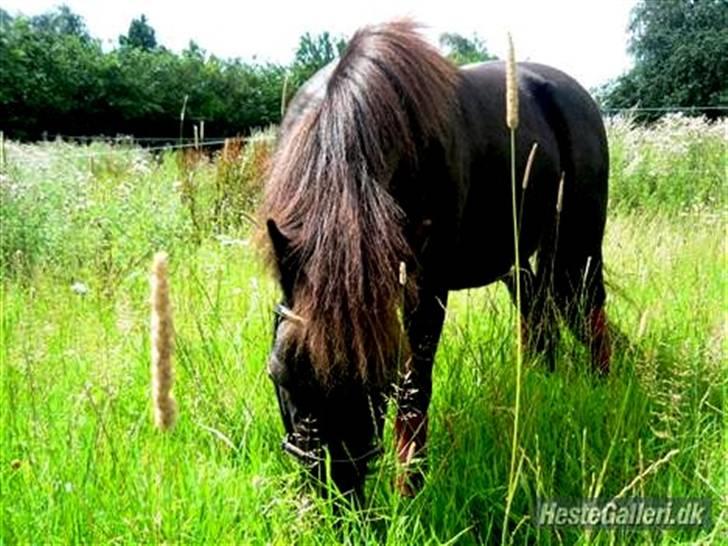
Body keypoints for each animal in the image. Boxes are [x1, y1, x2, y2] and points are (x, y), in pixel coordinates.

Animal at [258, 20, 612, 498]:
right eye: (280, 374)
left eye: (379, 378)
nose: (340, 494)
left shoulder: (428, 287)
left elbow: (415, 387)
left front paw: (410, 486)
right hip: (518, 260)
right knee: (538, 317)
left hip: (579, 245)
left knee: (590, 315)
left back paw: (605, 393)